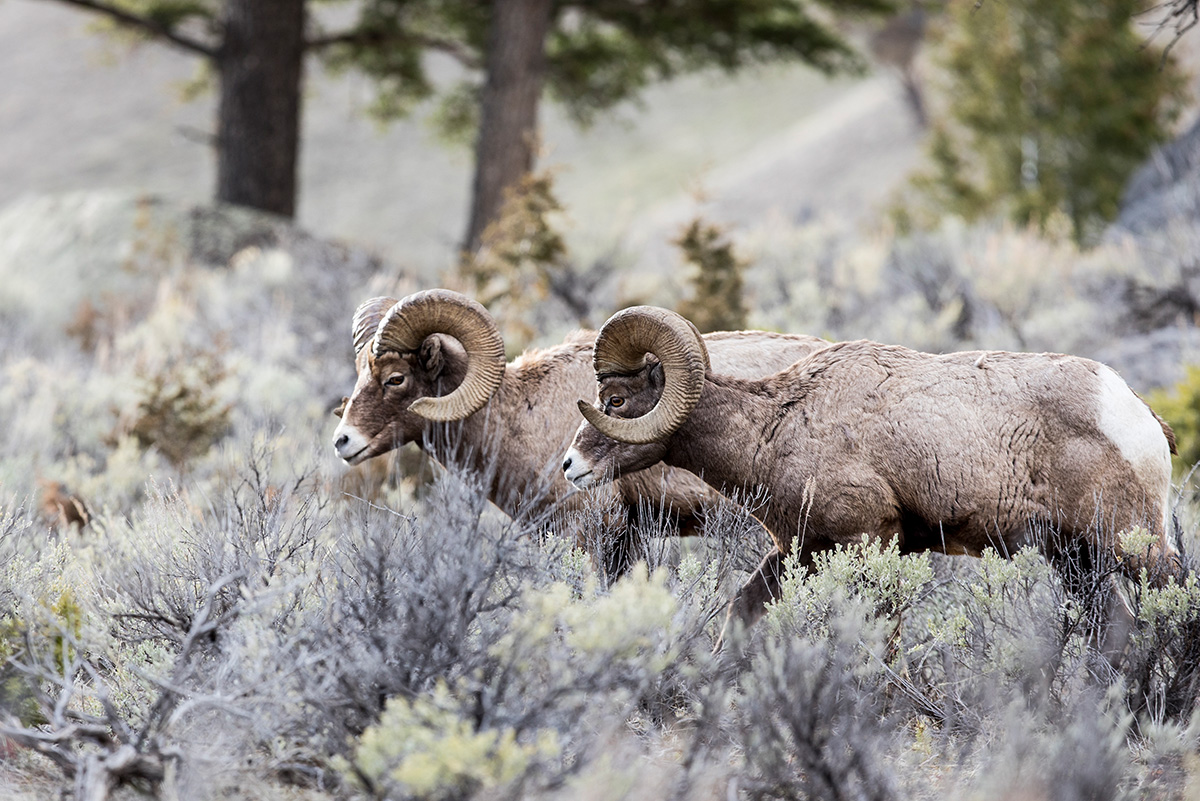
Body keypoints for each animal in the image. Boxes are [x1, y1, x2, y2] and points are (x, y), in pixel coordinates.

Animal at [564, 306, 1180, 652]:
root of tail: (1133, 410)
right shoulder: (800, 551)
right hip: (1077, 560)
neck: (774, 430)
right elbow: (739, 616)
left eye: (614, 400)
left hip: (1131, 544)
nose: (570, 466)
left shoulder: (872, 542)